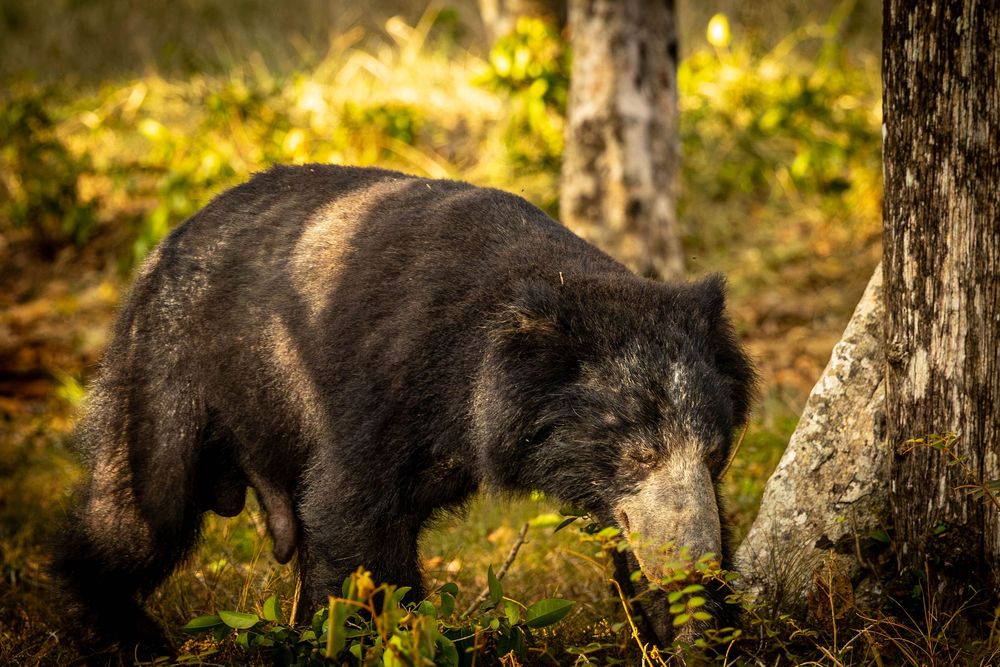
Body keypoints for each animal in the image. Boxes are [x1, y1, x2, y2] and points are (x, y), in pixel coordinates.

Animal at [51, 164, 756, 654]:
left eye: (715, 454)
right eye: (639, 453)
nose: (695, 563)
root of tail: (159, 250)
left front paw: (696, 630)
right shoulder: (378, 386)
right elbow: (351, 519)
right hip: (171, 369)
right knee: (142, 511)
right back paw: (122, 633)